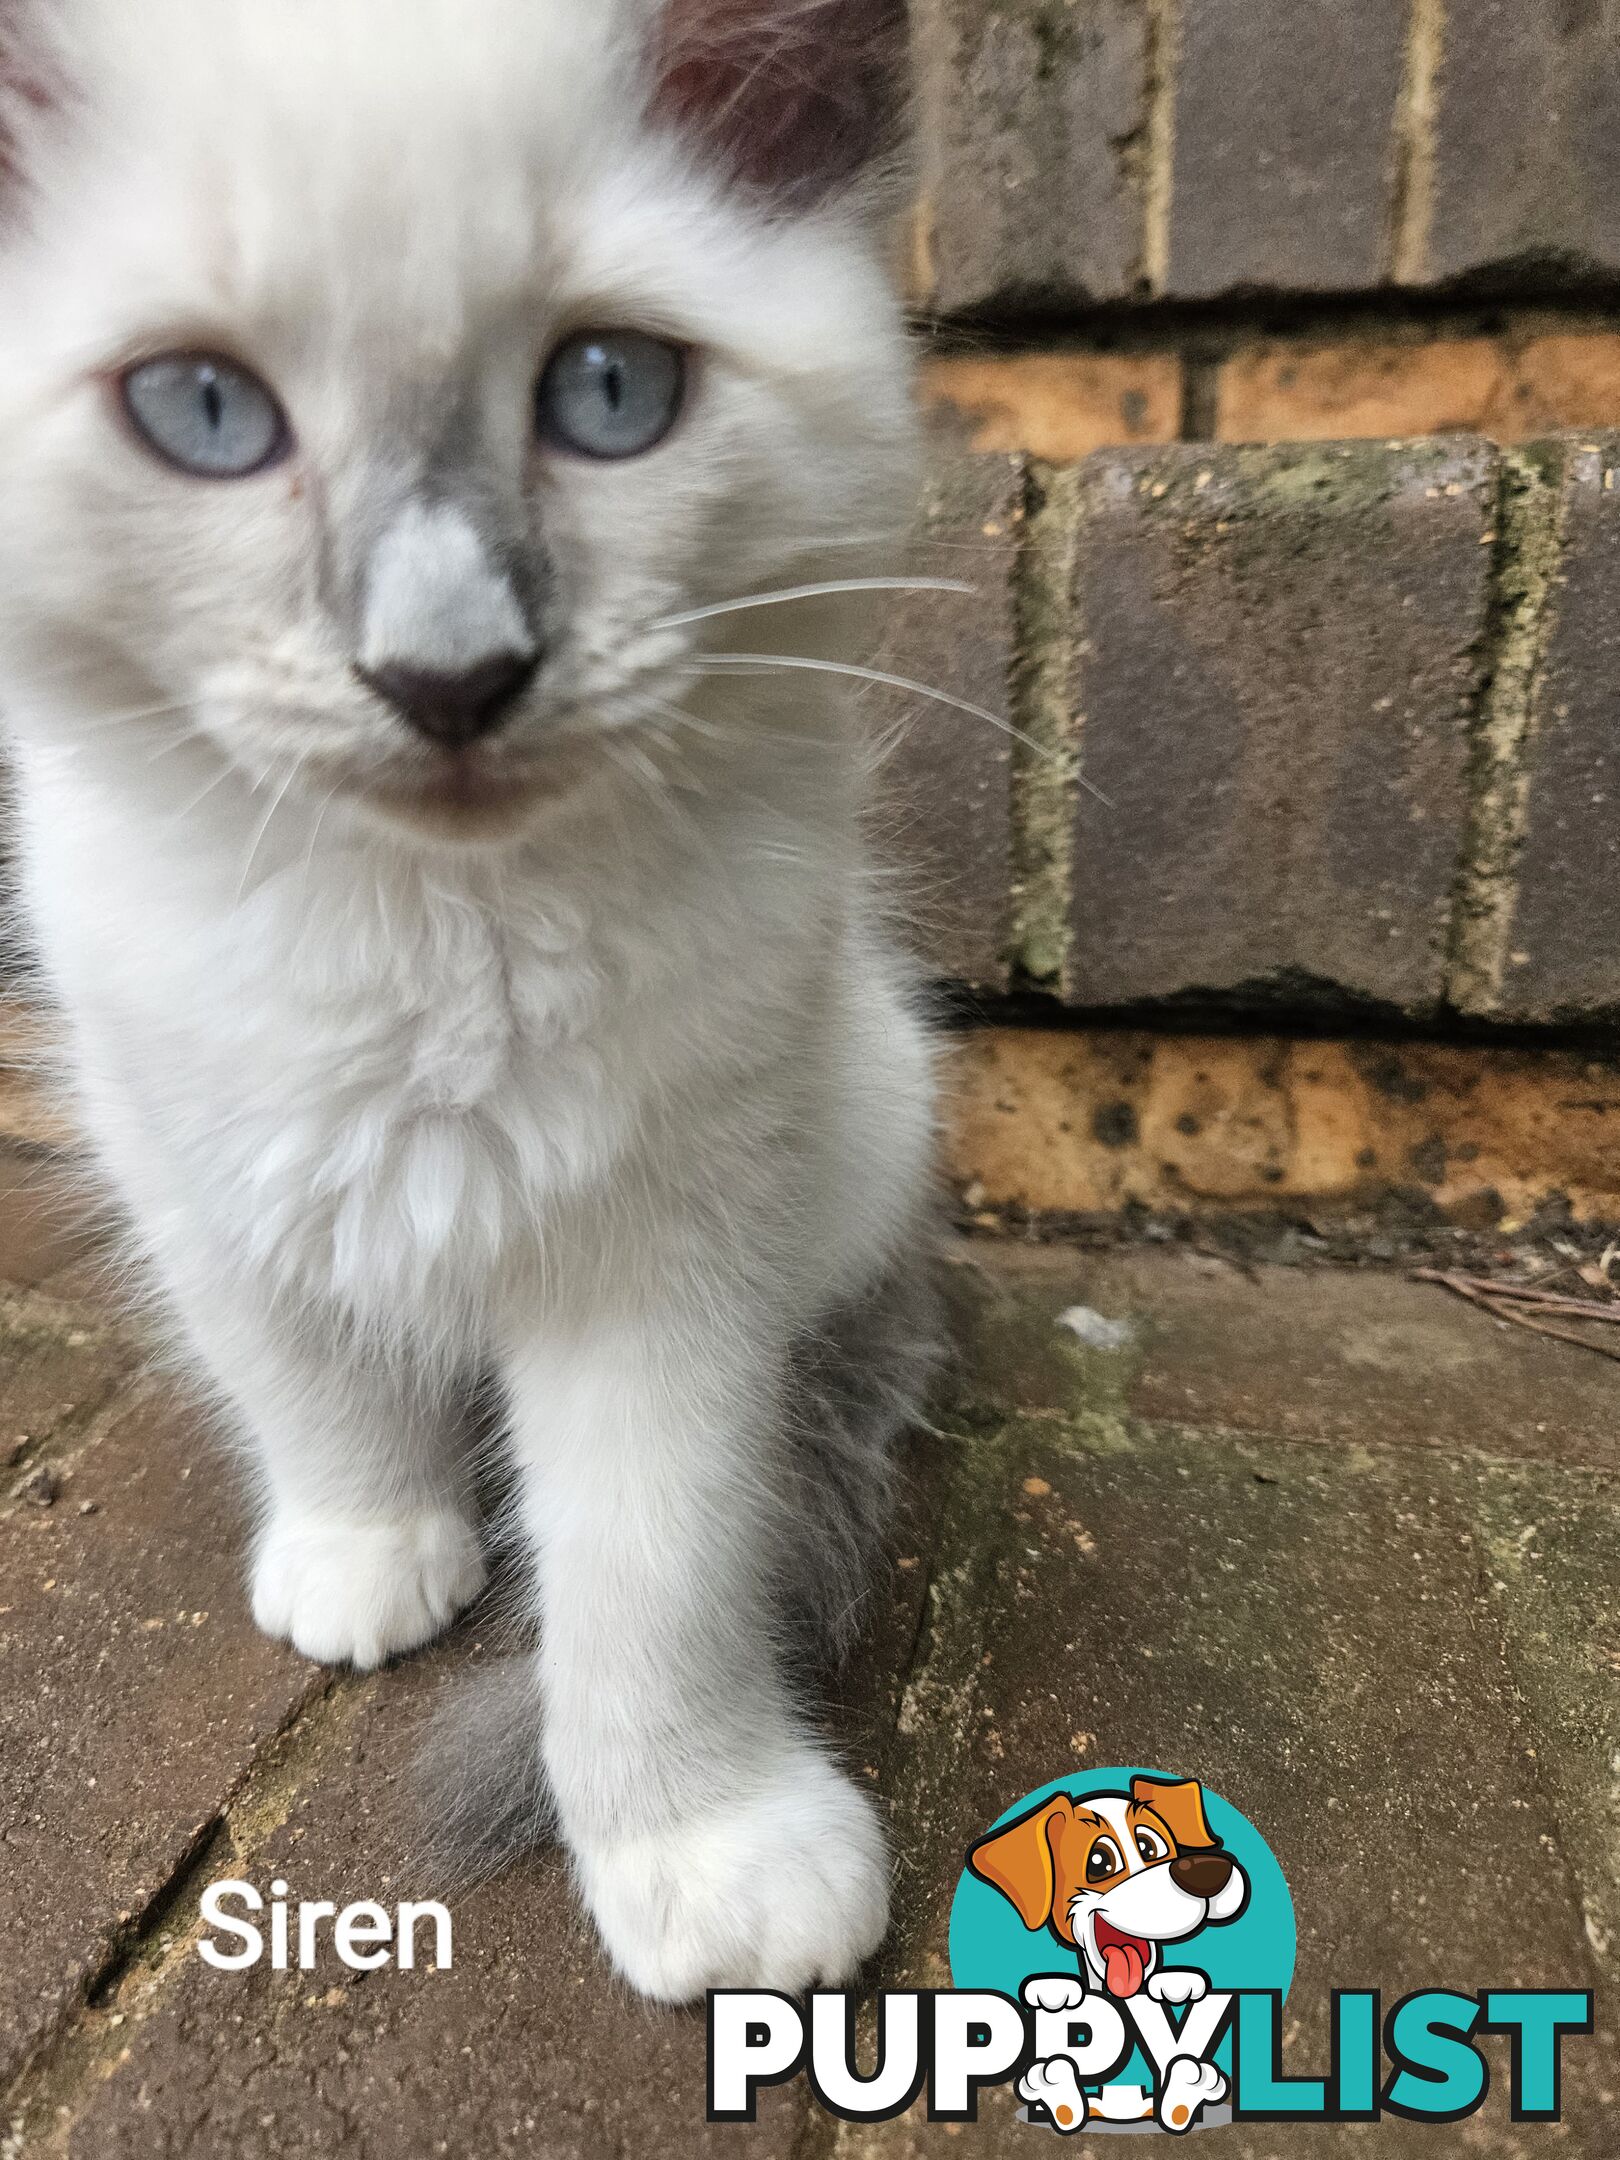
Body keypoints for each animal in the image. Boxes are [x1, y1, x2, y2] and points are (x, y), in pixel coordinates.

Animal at [0, 0, 937, 1995]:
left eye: (610, 393)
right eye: (204, 414)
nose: (447, 672)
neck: (429, 925)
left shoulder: (672, 1240)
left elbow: (658, 1572)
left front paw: (701, 1850)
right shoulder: (199, 1162)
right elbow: (306, 1381)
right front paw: (366, 1557)